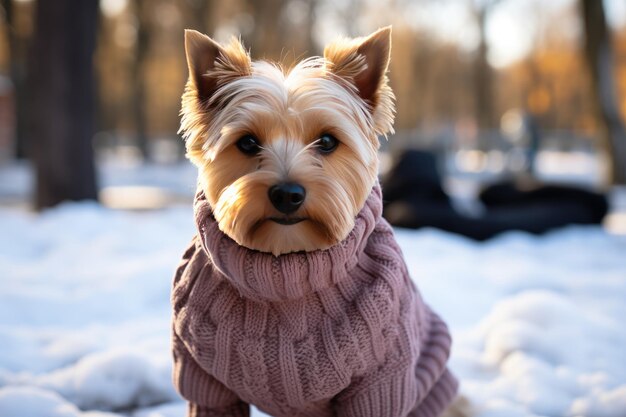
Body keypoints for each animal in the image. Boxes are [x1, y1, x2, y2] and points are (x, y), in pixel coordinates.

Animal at [173, 26, 456, 416]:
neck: (286, 271)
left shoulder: (382, 380)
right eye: (247, 143)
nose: (287, 194)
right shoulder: (204, 380)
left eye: (326, 141)